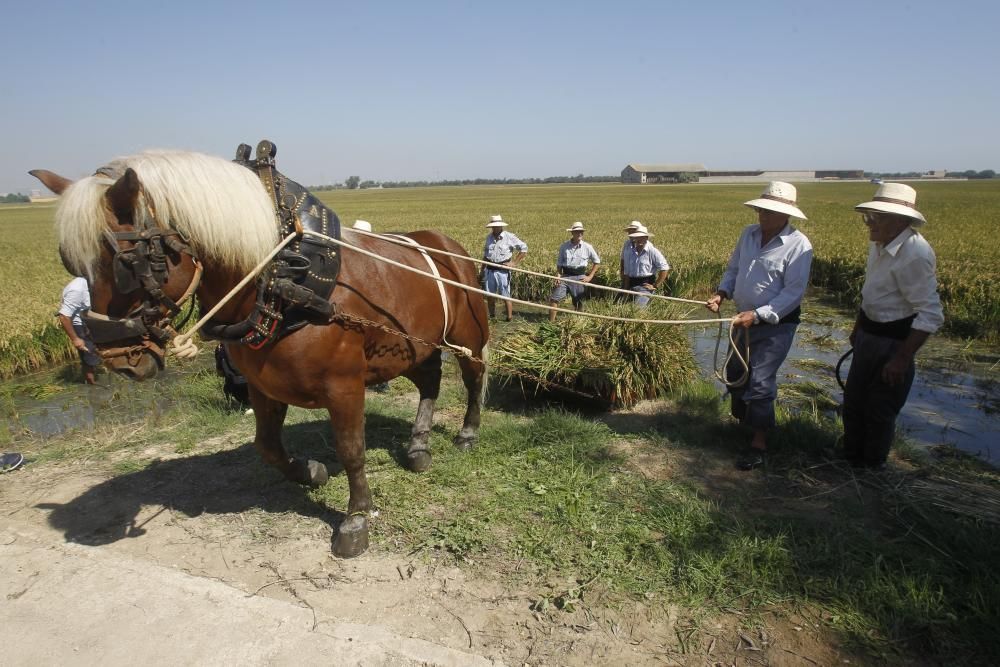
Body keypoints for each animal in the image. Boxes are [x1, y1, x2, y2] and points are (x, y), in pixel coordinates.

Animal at [34, 147, 492, 560]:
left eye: (127, 263)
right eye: (68, 261)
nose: (117, 356)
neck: (280, 278)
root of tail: (450, 248)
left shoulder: (345, 387)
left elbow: (351, 450)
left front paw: (356, 519)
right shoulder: (263, 384)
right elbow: (267, 446)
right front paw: (310, 471)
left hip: (467, 339)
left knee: (473, 379)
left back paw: (467, 434)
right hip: (412, 348)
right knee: (430, 380)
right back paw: (417, 447)